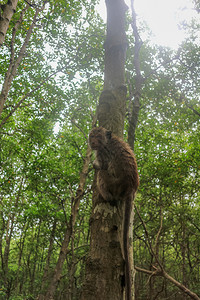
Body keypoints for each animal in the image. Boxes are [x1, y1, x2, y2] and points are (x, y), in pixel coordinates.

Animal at [88, 126, 139, 300]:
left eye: (97, 137)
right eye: (91, 136)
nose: (92, 142)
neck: (107, 142)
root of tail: (131, 188)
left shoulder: (102, 153)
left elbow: (101, 166)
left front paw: (94, 165)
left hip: (113, 184)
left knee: (102, 174)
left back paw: (107, 196)